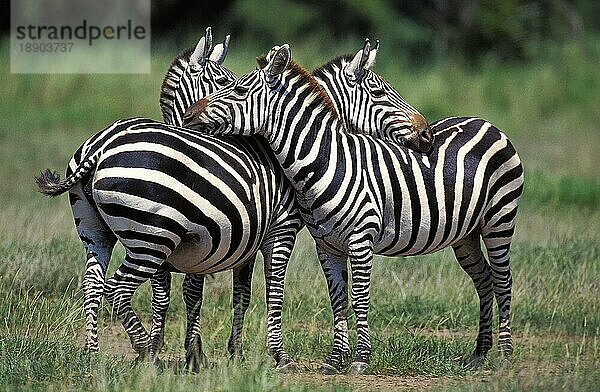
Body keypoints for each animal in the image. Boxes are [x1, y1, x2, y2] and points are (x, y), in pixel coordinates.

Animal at [184, 44, 524, 376]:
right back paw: (480, 353)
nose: (190, 115)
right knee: (484, 279)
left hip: (499, 221)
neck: (327, 160)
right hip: (465, 235)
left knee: (503, 280)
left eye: (239, 90)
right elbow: (338, 301)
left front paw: (360, 359)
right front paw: (335, 360)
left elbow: (359, 298)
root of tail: (484, 122)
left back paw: (506, 356)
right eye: (379, 91)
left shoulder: (360, 240)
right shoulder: (327, 245)